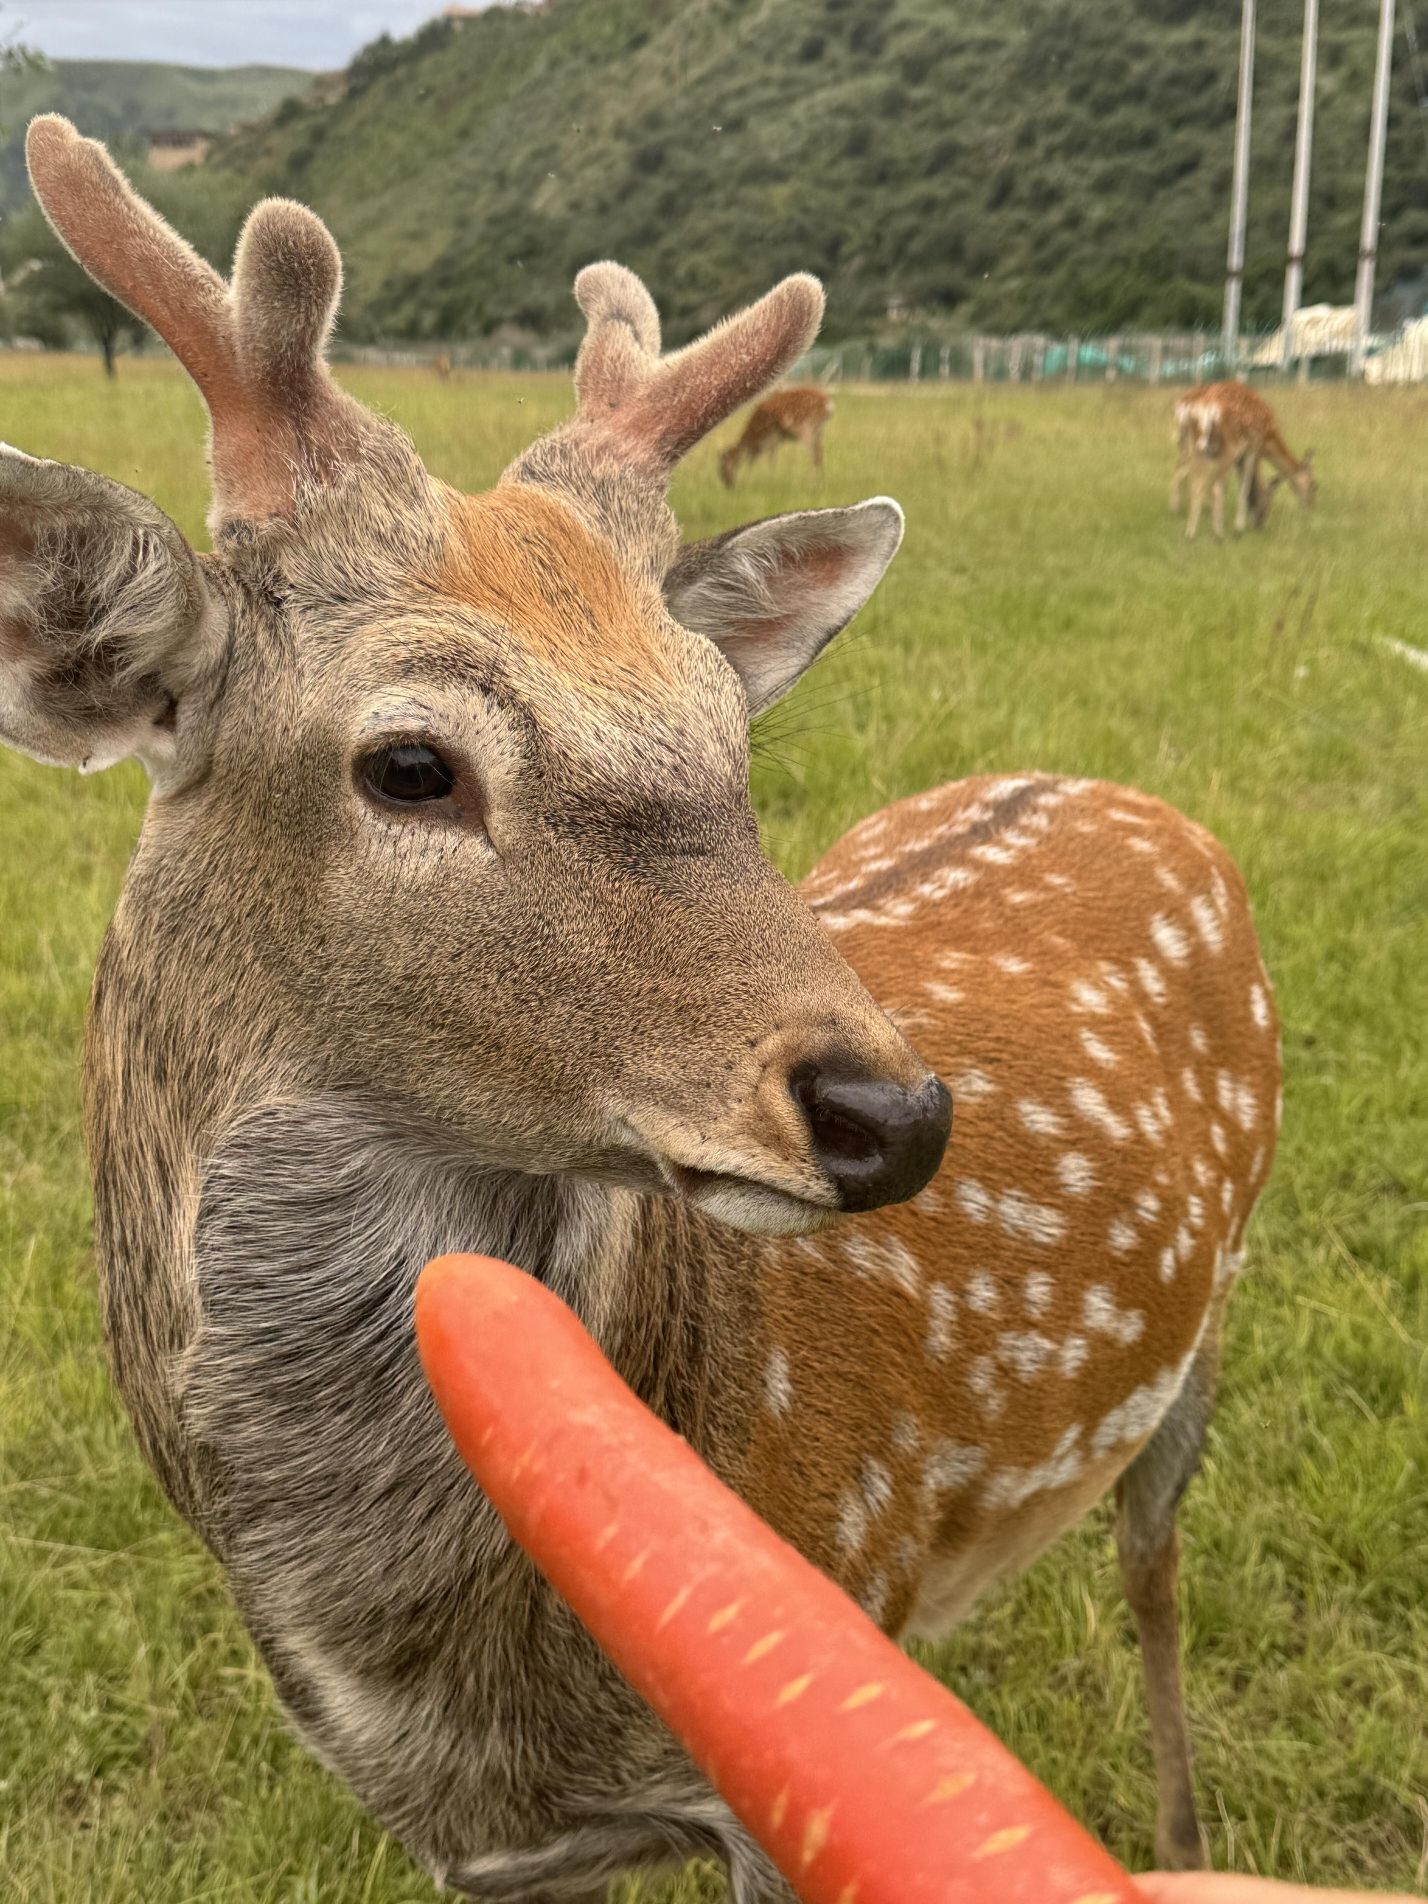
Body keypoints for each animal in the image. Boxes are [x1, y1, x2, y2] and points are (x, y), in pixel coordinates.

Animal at [2, 117, 1280, 1901]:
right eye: (412, 763)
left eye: (730, 738)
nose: (896, 1114)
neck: (450, 1694)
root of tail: (1125, 791)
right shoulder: (494, 1851)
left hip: (1211, 1319)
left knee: (1155, 1568)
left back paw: (1177, 1833)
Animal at [1173, 380, 1315, 541]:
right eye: (1314, 486)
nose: (1311, 504)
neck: (1268, 440)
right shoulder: (1253, 447)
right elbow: (1245, 486)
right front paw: (1239, 526)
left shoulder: (1239, 459)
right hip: (1227, 447)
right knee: (1210, 485)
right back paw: (1217, 532)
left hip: (1195, 445)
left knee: (1191, 478)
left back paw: (1188, 526)